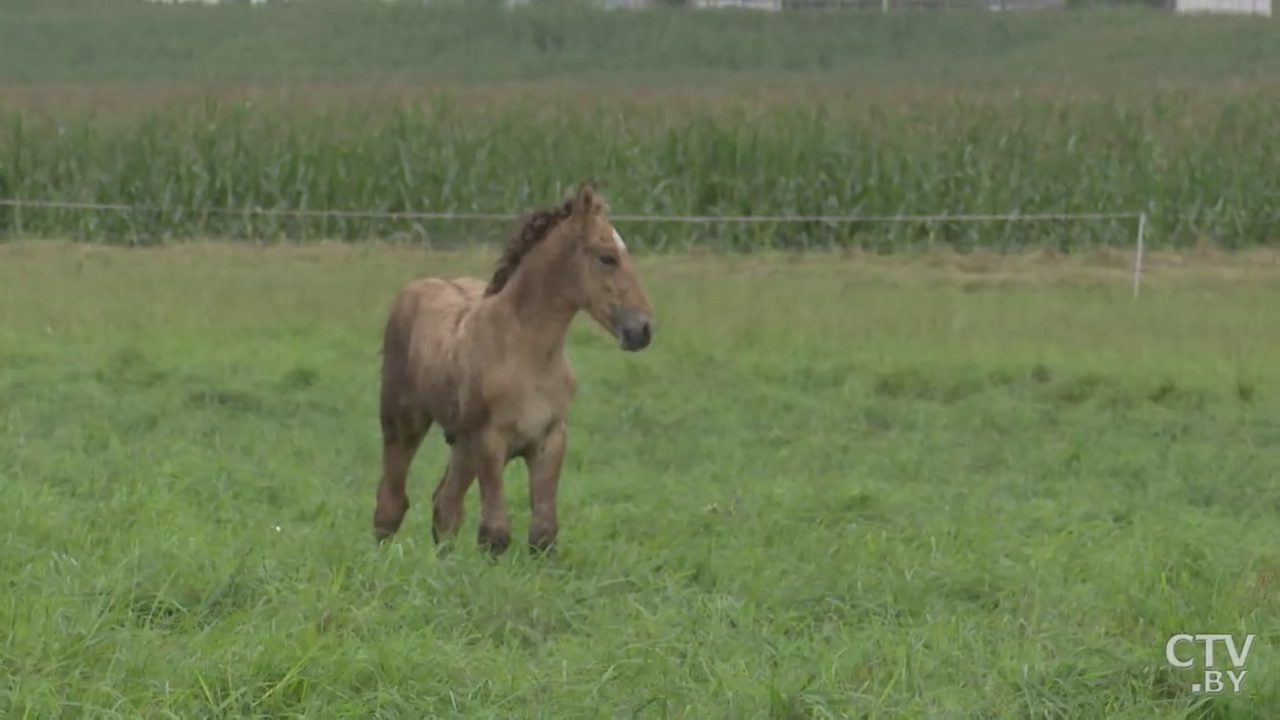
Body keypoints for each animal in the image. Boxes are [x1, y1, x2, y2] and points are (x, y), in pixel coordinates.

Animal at [371, 181, 650, 550]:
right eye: (607, 257)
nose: (643, 329)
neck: (527, 354)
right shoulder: (491, 440)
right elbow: (495, 532)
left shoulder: (550, 440)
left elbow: (543, 532)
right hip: (404, 422)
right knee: (391, 501)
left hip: (462, 442)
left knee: (446, 504)